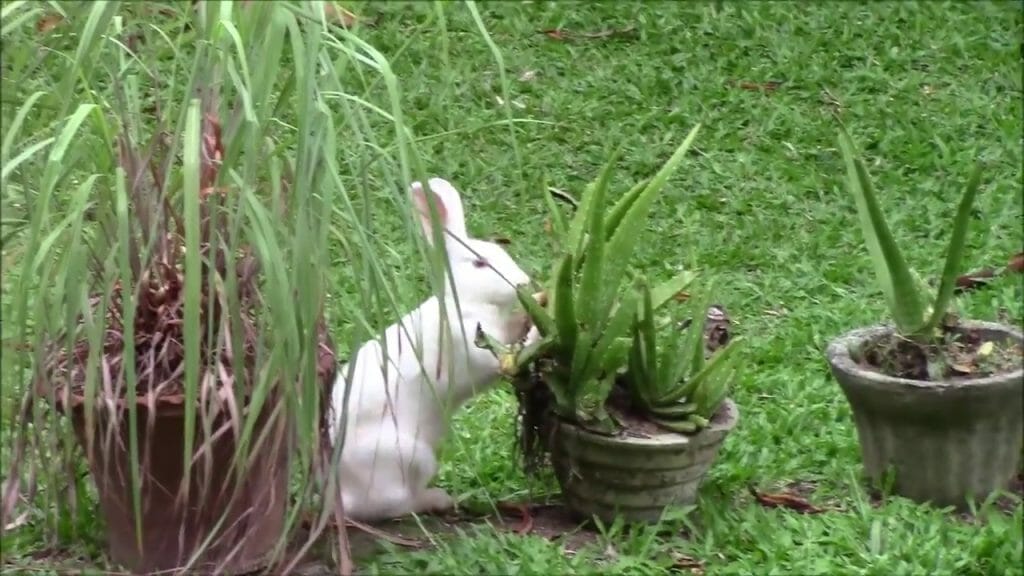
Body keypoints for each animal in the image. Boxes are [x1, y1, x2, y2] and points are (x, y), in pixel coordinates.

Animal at [329, 176, 540, 520]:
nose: (522, 282)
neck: (467, 301)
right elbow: (511, 356)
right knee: (391, 506)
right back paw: (438, 500)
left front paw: (536, 304)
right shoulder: (478, 347)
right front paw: (536, 327)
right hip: (410, 457)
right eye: (480, 263)